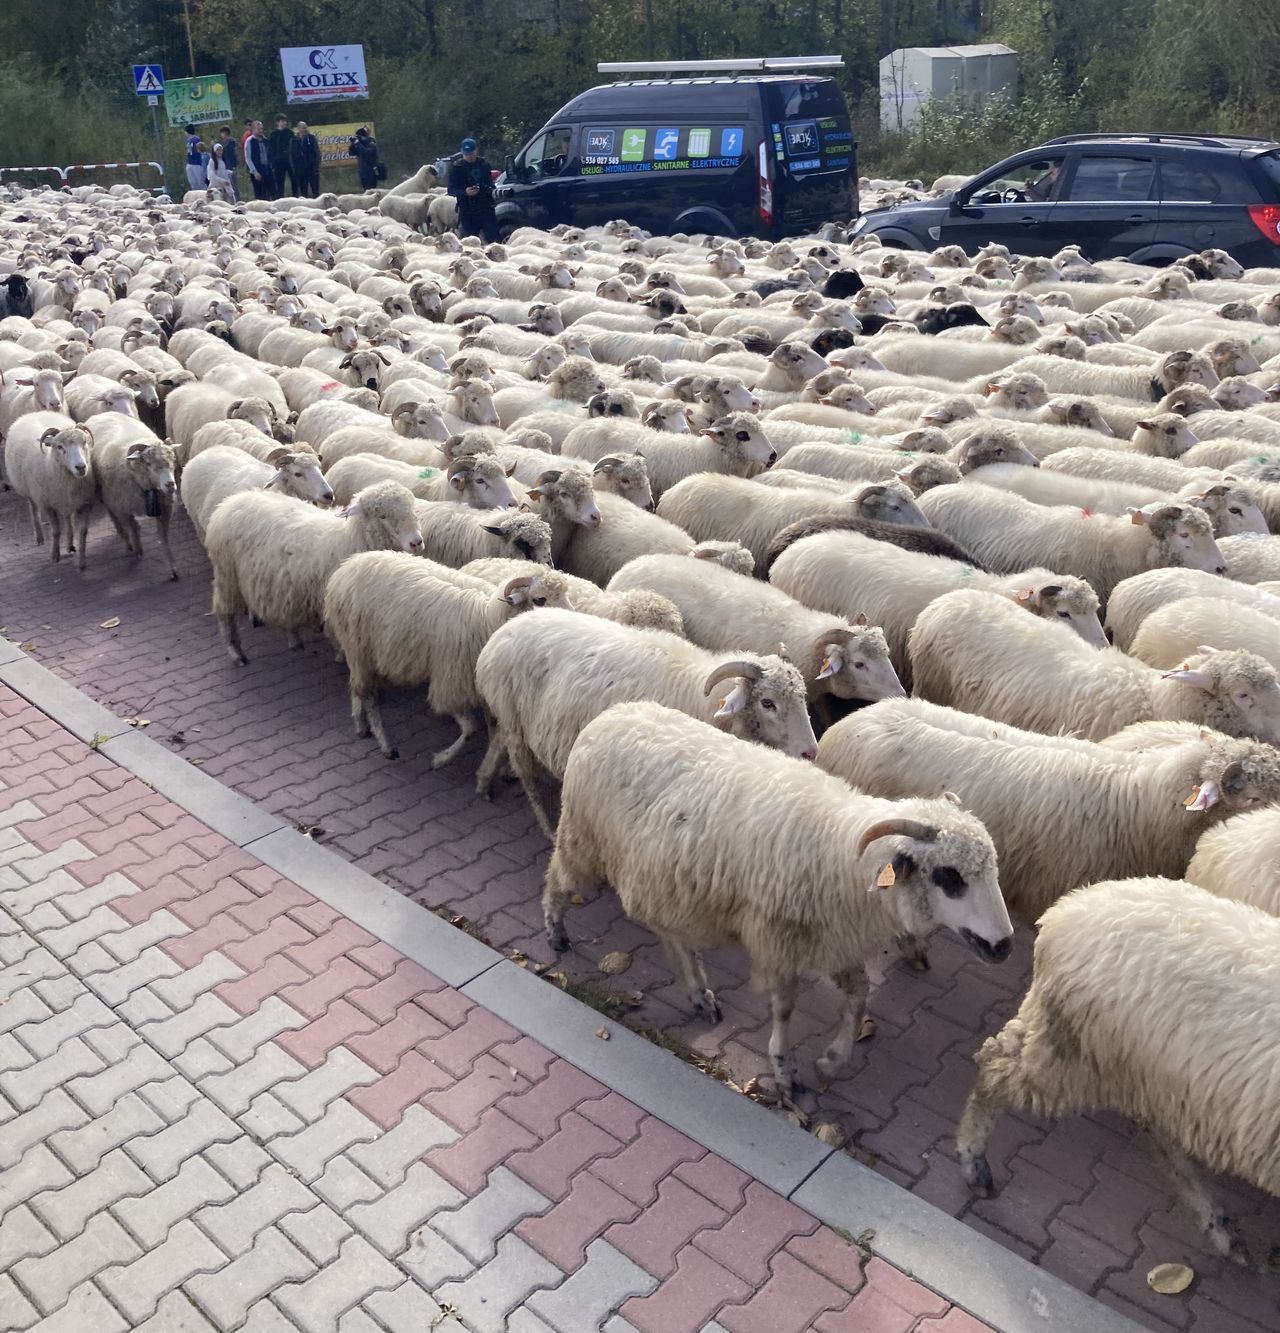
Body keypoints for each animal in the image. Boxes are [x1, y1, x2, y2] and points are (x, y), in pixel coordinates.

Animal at [205, 482, 421, 663]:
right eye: (382, 515)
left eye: (413, 511)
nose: (417, 542)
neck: (351, 538)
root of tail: (229, 502)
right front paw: (340, 656)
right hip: (227, 574)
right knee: (224, 612)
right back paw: (236, 652)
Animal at [325, 551, 570, 762]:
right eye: (540, 599)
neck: (488, 617)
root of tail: (347, 566)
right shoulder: (451, 682)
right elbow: (470, 730)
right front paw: (440, 759)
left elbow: (490, 730)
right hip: (358, 646)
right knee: (365, 692)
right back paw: (385, 744)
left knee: (356, 686)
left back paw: (361, 725)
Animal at [472, 610, 821, 831]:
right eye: (767, 703)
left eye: (802, 698)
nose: (810, 752)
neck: (705, 699)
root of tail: (498, 636)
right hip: (515, 721)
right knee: (526, 773)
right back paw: (545, 823)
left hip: (509, 716)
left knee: (498, 741)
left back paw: (484, 782)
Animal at [954, 874, 1280, 1258]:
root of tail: (1068, 909)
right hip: (1076, 1056)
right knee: (994, 1068)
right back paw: (975, 1165)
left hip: (1140, 1071)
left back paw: (1218, 1226)